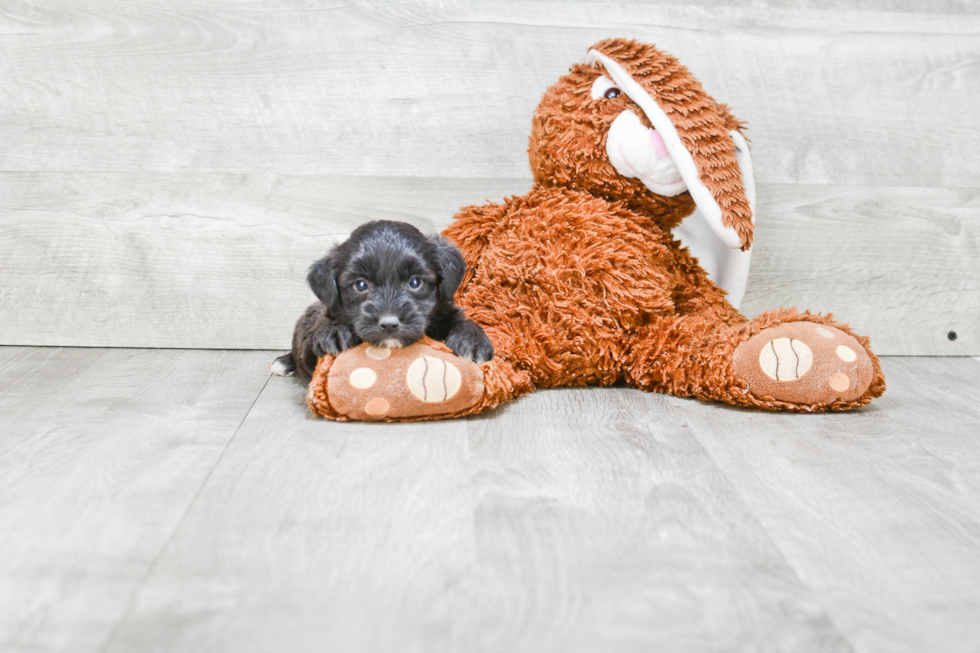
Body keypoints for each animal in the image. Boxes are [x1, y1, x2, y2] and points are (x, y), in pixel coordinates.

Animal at [272, 222, 494, 380]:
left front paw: (472, 339)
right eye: (361, 285)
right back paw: (284, 362)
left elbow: (460, 320)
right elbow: (312, 344)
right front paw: (333, 332)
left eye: (415, 282)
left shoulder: (444, 310)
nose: (389, 323)